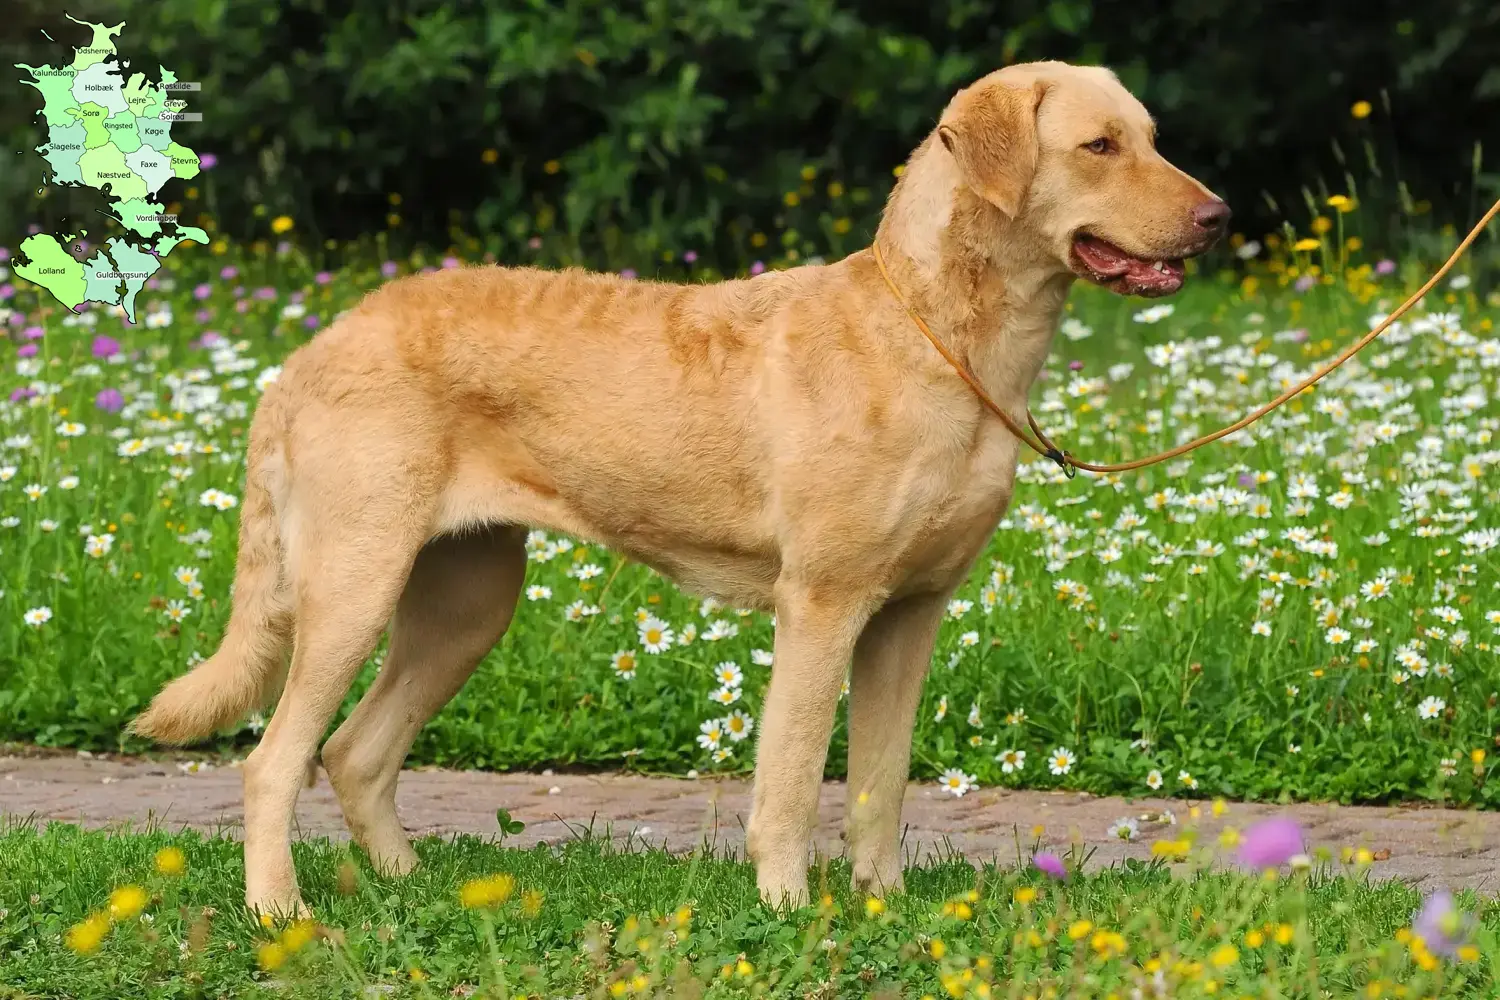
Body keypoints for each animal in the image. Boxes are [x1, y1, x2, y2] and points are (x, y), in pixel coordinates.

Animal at [132, 56, 1230, 917]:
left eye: (1150, 138)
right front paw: (789, 911)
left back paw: (415, 890)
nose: (1219, 216)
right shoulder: (822, 603)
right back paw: (280, 915)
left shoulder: (910, 614)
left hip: (467, 599)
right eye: (1098, 146)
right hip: (354, 584)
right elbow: (791, 779)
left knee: (356, 751)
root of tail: (308, 352)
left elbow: (880, 781)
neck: (943, 338)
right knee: (275, 760)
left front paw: (884, 905)